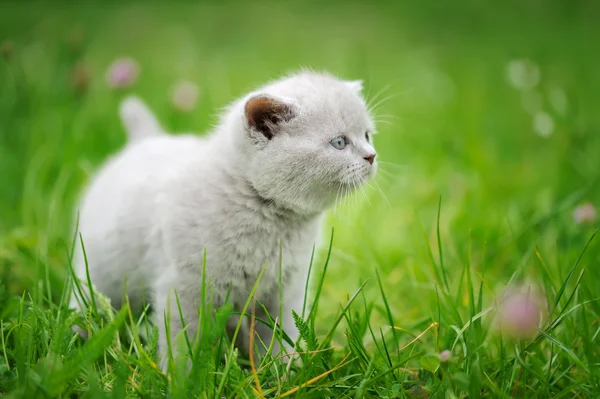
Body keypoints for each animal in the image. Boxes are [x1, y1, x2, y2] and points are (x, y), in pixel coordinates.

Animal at [71, 71, 376, 366]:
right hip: (96, 275)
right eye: (339, 142)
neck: (272, 221)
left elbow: (281, 337)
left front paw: (286, 373)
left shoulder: (286, 290)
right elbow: (181, 343)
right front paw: (181, 377)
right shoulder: (183, 287)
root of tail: (146, 140)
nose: (372, 156)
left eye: (367, 136)